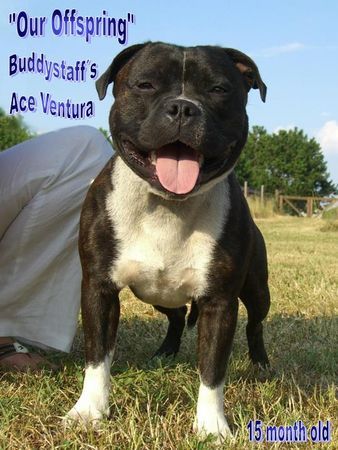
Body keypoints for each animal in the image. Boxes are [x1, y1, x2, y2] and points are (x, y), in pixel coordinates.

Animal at [65, 42, 270, 440]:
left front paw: (212, 426)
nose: (183, 107)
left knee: (255, 324)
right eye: (145, 85)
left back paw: (261, 364)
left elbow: (212, 369)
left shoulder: (219, 302)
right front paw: (89, 411)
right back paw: (165, 353)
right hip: (155, 291)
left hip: (257, 291)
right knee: (175, 316)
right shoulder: (98, 288)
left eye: (219, 89)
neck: (166, 206)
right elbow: (97, 356)